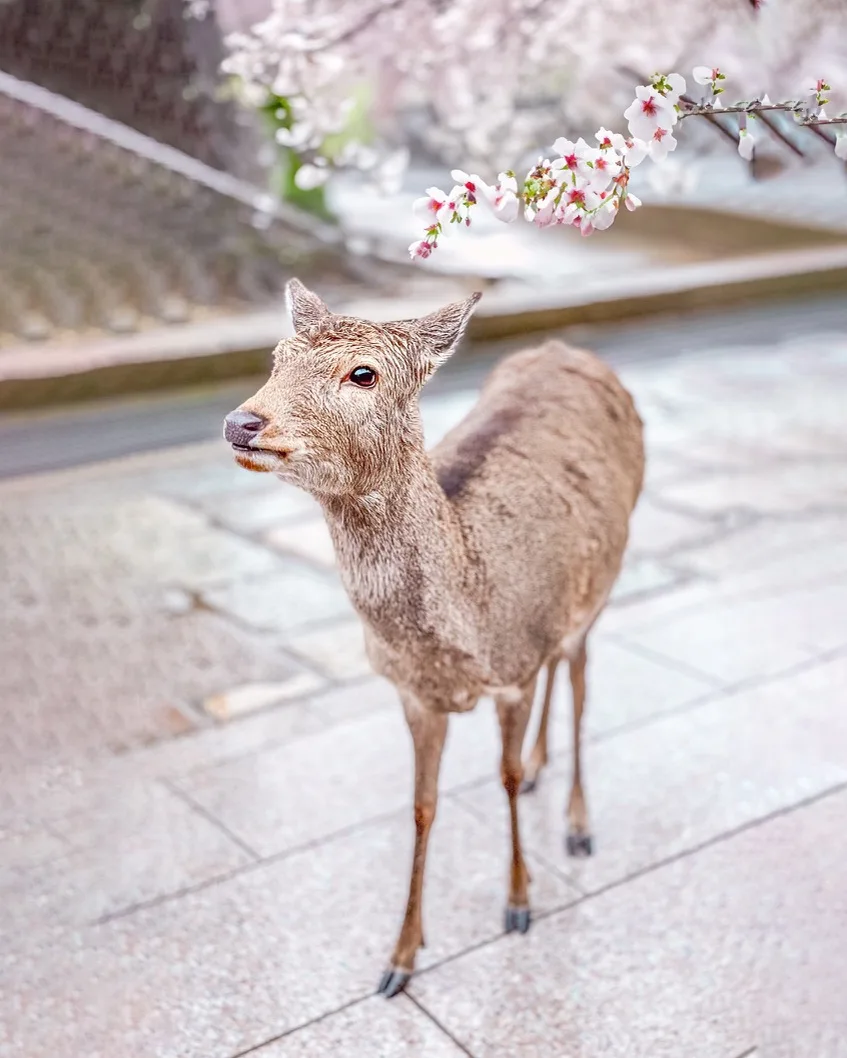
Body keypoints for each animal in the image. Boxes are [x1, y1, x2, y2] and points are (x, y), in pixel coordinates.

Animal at [223, 279, 644, 997]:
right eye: (276, 358)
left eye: (363, 373)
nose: (242, 423)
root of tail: (570, 348)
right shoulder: (414, 694)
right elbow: (422, 807)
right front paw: (401, 957)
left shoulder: (512, 676)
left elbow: (502, 777)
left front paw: (519, 902)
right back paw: (545, 770)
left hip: (603, 586)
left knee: (580, 678)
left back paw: (577, 824)